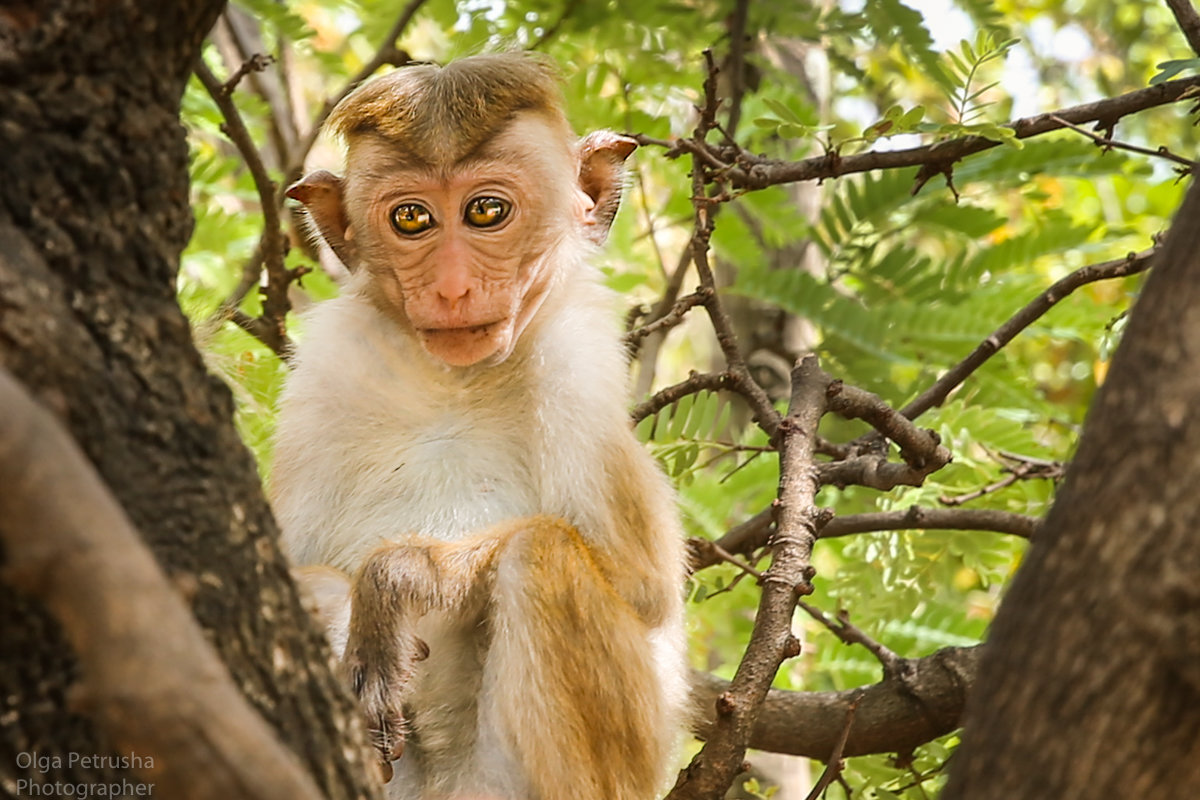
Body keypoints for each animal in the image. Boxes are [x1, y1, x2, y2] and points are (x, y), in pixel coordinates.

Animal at [270, 51, 686, 800]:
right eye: (412, 218)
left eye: (487, 211)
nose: (453, 287)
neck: (456, 383)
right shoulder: (328, 370)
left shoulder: (576, 364)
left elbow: (644, 589)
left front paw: (398, 580)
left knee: (541, 554)